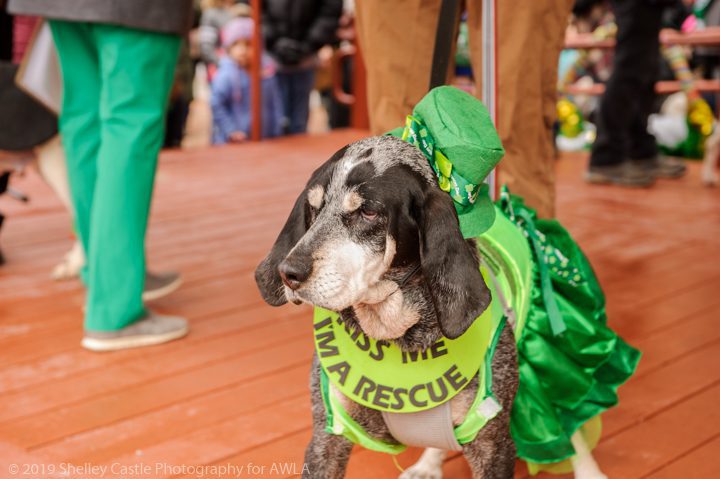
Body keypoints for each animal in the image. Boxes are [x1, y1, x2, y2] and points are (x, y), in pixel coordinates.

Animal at [256, 136, 604, 479]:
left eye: (368, 212)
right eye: (313, 208)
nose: (289, 273)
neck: (396, 333)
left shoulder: (492, 444)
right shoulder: (327, 438)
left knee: (570, 423)